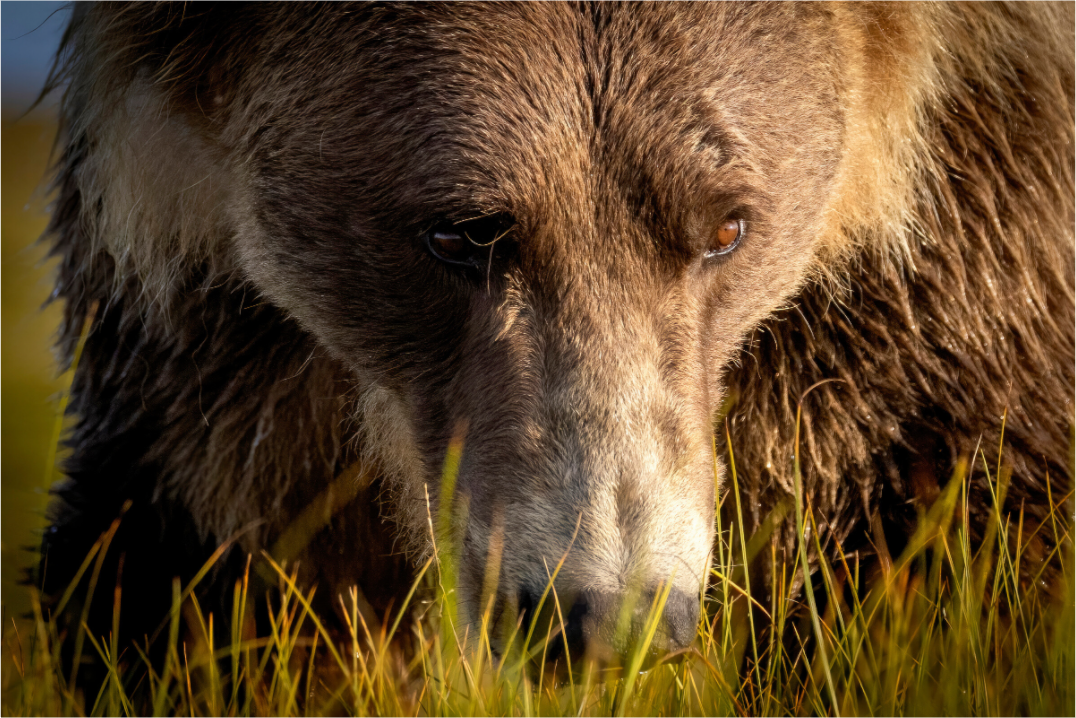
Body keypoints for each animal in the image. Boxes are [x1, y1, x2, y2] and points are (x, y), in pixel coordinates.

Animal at [39, 0, 1076, 675]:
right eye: (459, 232)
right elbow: (209, 564)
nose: (609, 617)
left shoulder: (959, 252)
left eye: (727, 227)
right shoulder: (213, 348)